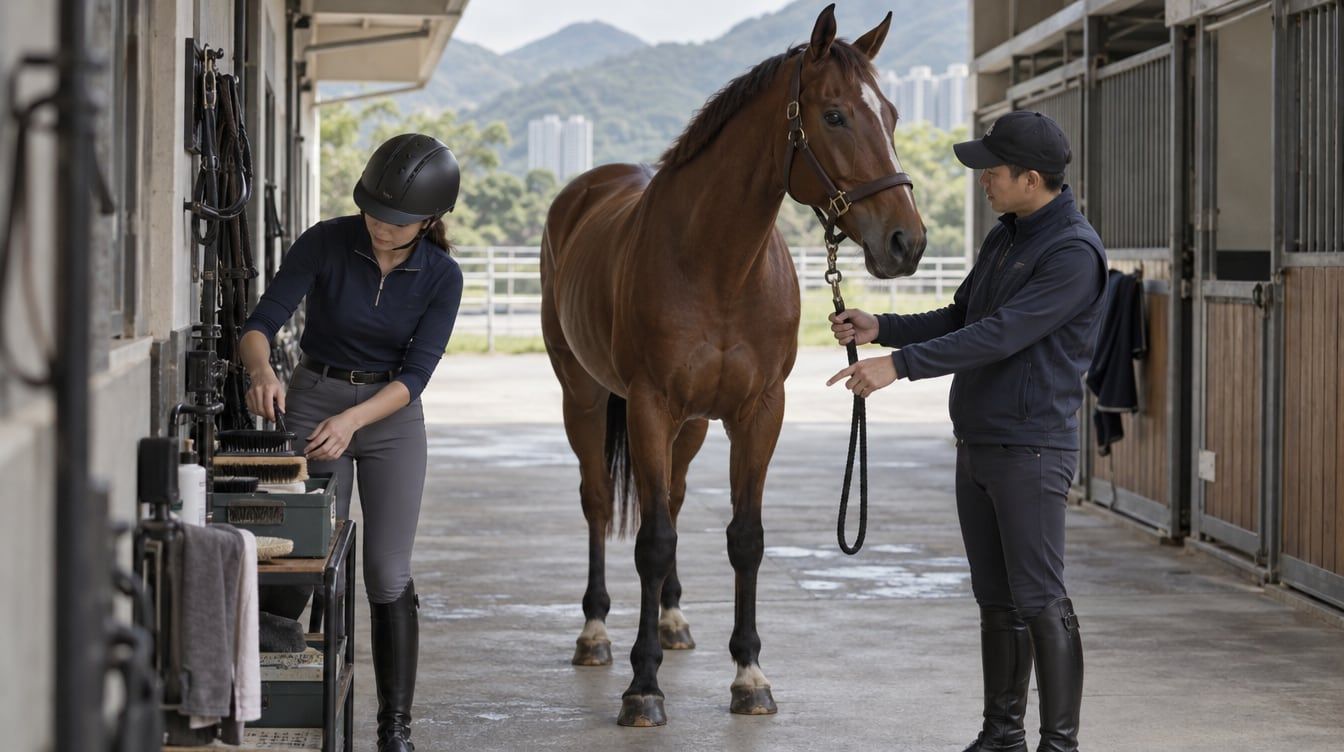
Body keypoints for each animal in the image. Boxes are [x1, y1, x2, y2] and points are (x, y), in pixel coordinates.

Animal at [539, 4, 927, 727]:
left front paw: (749, 677)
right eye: (835, 115)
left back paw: (673, 621)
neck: (717, 263)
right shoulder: (649, 405)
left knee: (673, 498)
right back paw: (596, 633)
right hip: (585, 397)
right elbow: (651, 541)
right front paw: (643, 688)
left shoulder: (759, 410)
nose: (906, 243)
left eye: (890, 114)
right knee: (599, 503)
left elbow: (744, 537)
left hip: (690, 424)